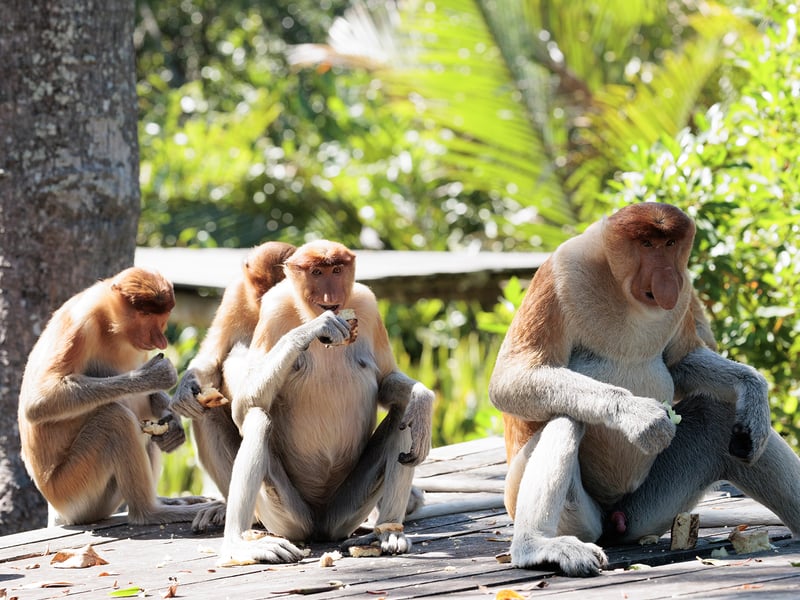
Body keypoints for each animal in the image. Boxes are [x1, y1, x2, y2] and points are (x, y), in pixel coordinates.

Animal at [18, 267, 216, 527]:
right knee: (114, 419)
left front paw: (173, 427)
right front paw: (155, 375)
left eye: (163, 316)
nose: (161, 340)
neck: (109, 325)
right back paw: (152, 512)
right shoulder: (80, 327)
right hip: (73, 490)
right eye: (145, 314)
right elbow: (37, 403)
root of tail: (58, 511)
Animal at [171, 241, 296, 529]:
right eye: (262, 289)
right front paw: (185, 388)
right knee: (206, 414)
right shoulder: (236, 294)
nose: (270, 304)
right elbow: (214, 354)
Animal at [214, 239, 434, 565]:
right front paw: (318, 327)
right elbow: (242, 407)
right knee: (257, 419)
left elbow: (385, 381)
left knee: (400, 416)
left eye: (337, 270)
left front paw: (422, 398)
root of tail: (318, 526)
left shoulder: (367, 305)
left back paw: (388, 533)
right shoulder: (274, 308)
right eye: (317, 272)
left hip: (345, 512)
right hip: (286, 516)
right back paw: (238, 546)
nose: (331, 298)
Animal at [489, 202, 800, 577]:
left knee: (716, 414)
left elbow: (682, 361)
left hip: (647, 510)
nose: (667, 276)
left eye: (670, 244)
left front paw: (754, 396)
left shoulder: (683, 293)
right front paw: (640, 417)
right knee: (566, 417)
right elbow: (510, 379)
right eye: (647, 244)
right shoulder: (561, 274)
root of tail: (611, 520)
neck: (624, 295)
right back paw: (537, 547)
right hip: (554, 508)